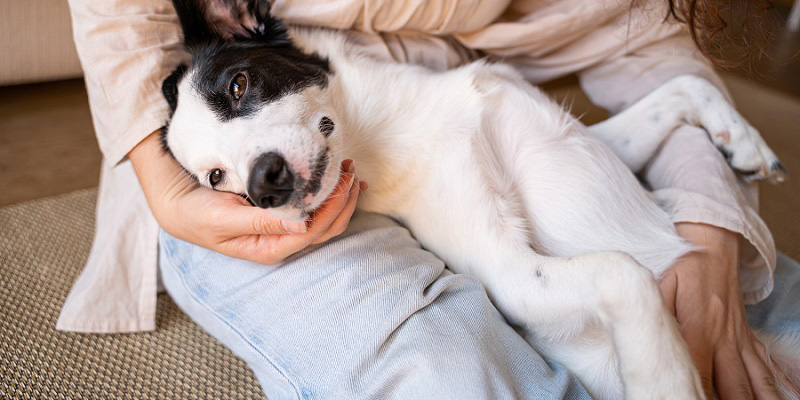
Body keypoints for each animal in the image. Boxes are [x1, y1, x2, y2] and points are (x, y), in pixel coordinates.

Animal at [159, 1, 792, 398]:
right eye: (216, 178)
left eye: (239, 84)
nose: (262, 186)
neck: (400, 126)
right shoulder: (514, 275)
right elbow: (624, 273)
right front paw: (667, 378)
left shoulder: (589, 137)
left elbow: (687, 86)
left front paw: (745, 142)